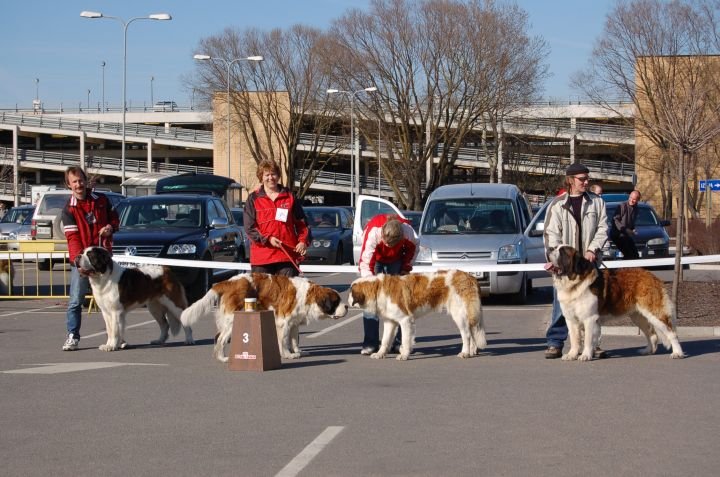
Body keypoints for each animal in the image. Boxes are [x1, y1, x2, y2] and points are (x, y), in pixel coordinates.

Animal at [180, 272, 348, 360]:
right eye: (336, 301)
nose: (346, 306)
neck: (308, 295)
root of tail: (229, 281)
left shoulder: (294, 323)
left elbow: (294, 339)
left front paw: (298, 352)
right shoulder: (284, 323)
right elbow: (284, 340)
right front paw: (287, 355)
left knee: (217, 337)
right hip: (233, 319)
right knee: (221, 338)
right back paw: (223, 358)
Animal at [348, 270, 486, 358]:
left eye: (350, 293)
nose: (347, 301)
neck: (378, 288)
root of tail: (470, 276)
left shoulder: (405, 320)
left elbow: (405, 339)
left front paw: (404, 355)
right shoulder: (390, 322)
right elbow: (386, 340)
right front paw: (380, 354)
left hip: (459, 314)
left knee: (466, 334)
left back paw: (465, 353)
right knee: (472, 331)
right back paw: (472, 351)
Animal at [548, 244, 684, 358]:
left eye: (562, 251)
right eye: (555, 247)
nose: (549, 248)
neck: (573, 283)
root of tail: (652, 276)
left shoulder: (589, 318)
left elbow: (587, 339)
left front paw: (585, 355)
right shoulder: (571, 319)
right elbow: (574, 339)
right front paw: (572, 355)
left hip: (654, 313)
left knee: (672, 333)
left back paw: (677, 353)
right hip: (638, 316)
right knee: (652, 334)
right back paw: (647, 350)